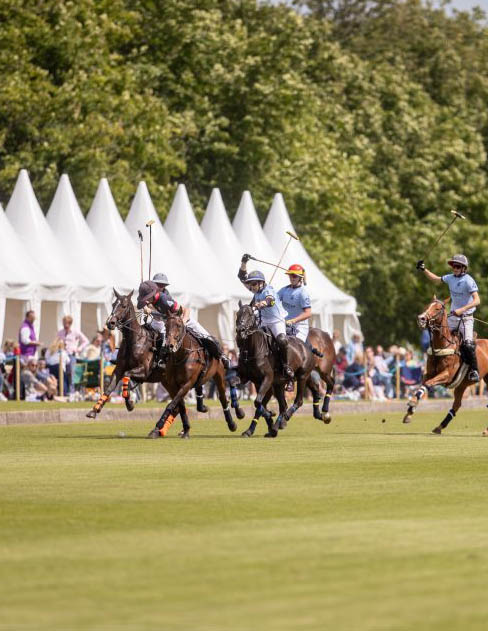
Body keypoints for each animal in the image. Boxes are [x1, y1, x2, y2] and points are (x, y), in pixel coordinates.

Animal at [147, 310, 242, 440]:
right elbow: (180, 406)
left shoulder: (187, 383)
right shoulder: (172, 384)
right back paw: (202, 407)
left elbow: (172, 404)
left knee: (223, 398)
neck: (181, 356)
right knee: (199, 389)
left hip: (219, 375)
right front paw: (185, 429)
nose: (169, 345)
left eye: (179, 325)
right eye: (166, 326)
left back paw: (232, 423)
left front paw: (158, 427)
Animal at [236, 304, 316, 436]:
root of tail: (307, 346)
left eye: (251, 314)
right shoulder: (248, 378)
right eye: (237, 314)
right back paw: (271, 428)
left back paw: (284, 419)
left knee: (298, 401)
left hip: (302, 377)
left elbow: (258, 402)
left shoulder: (268, 377)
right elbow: (257, 402)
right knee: (282, 406)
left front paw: (270, 415)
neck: (252, 350)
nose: (240, 331)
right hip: (279, 384)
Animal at [400, 296, 488, 434]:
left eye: (438, 309)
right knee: (456, 405)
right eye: (427, 306)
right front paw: (409, 413)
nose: (421, 319)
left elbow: (428, 384)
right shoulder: (429, 373)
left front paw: (412, 403)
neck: (442, 345)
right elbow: (422, 385)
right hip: (461, 385)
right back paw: (440, 426)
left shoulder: (446, 375)